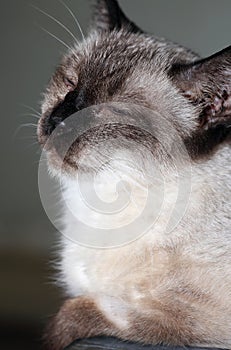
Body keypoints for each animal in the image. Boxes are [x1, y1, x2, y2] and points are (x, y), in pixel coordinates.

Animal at [37, 0, 230, 350]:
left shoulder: (196, 318)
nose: (57, 121)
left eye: (114, 111)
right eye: (70, 82)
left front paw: (51, 337)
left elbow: (75, 313)